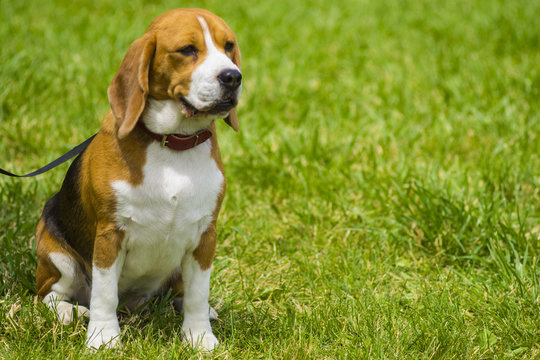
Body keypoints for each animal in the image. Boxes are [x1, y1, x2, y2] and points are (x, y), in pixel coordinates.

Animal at [34, 8, 242, 352]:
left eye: (228, 46)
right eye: (187, 49)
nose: (232, 77)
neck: (172, 143)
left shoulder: (205, 235)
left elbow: (198, 295)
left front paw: (199, 338)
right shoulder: (110, 234)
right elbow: (104, 294)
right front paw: (103, 338)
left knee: (180, 292)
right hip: (54, 252)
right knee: (48, 296)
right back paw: (69, 312)